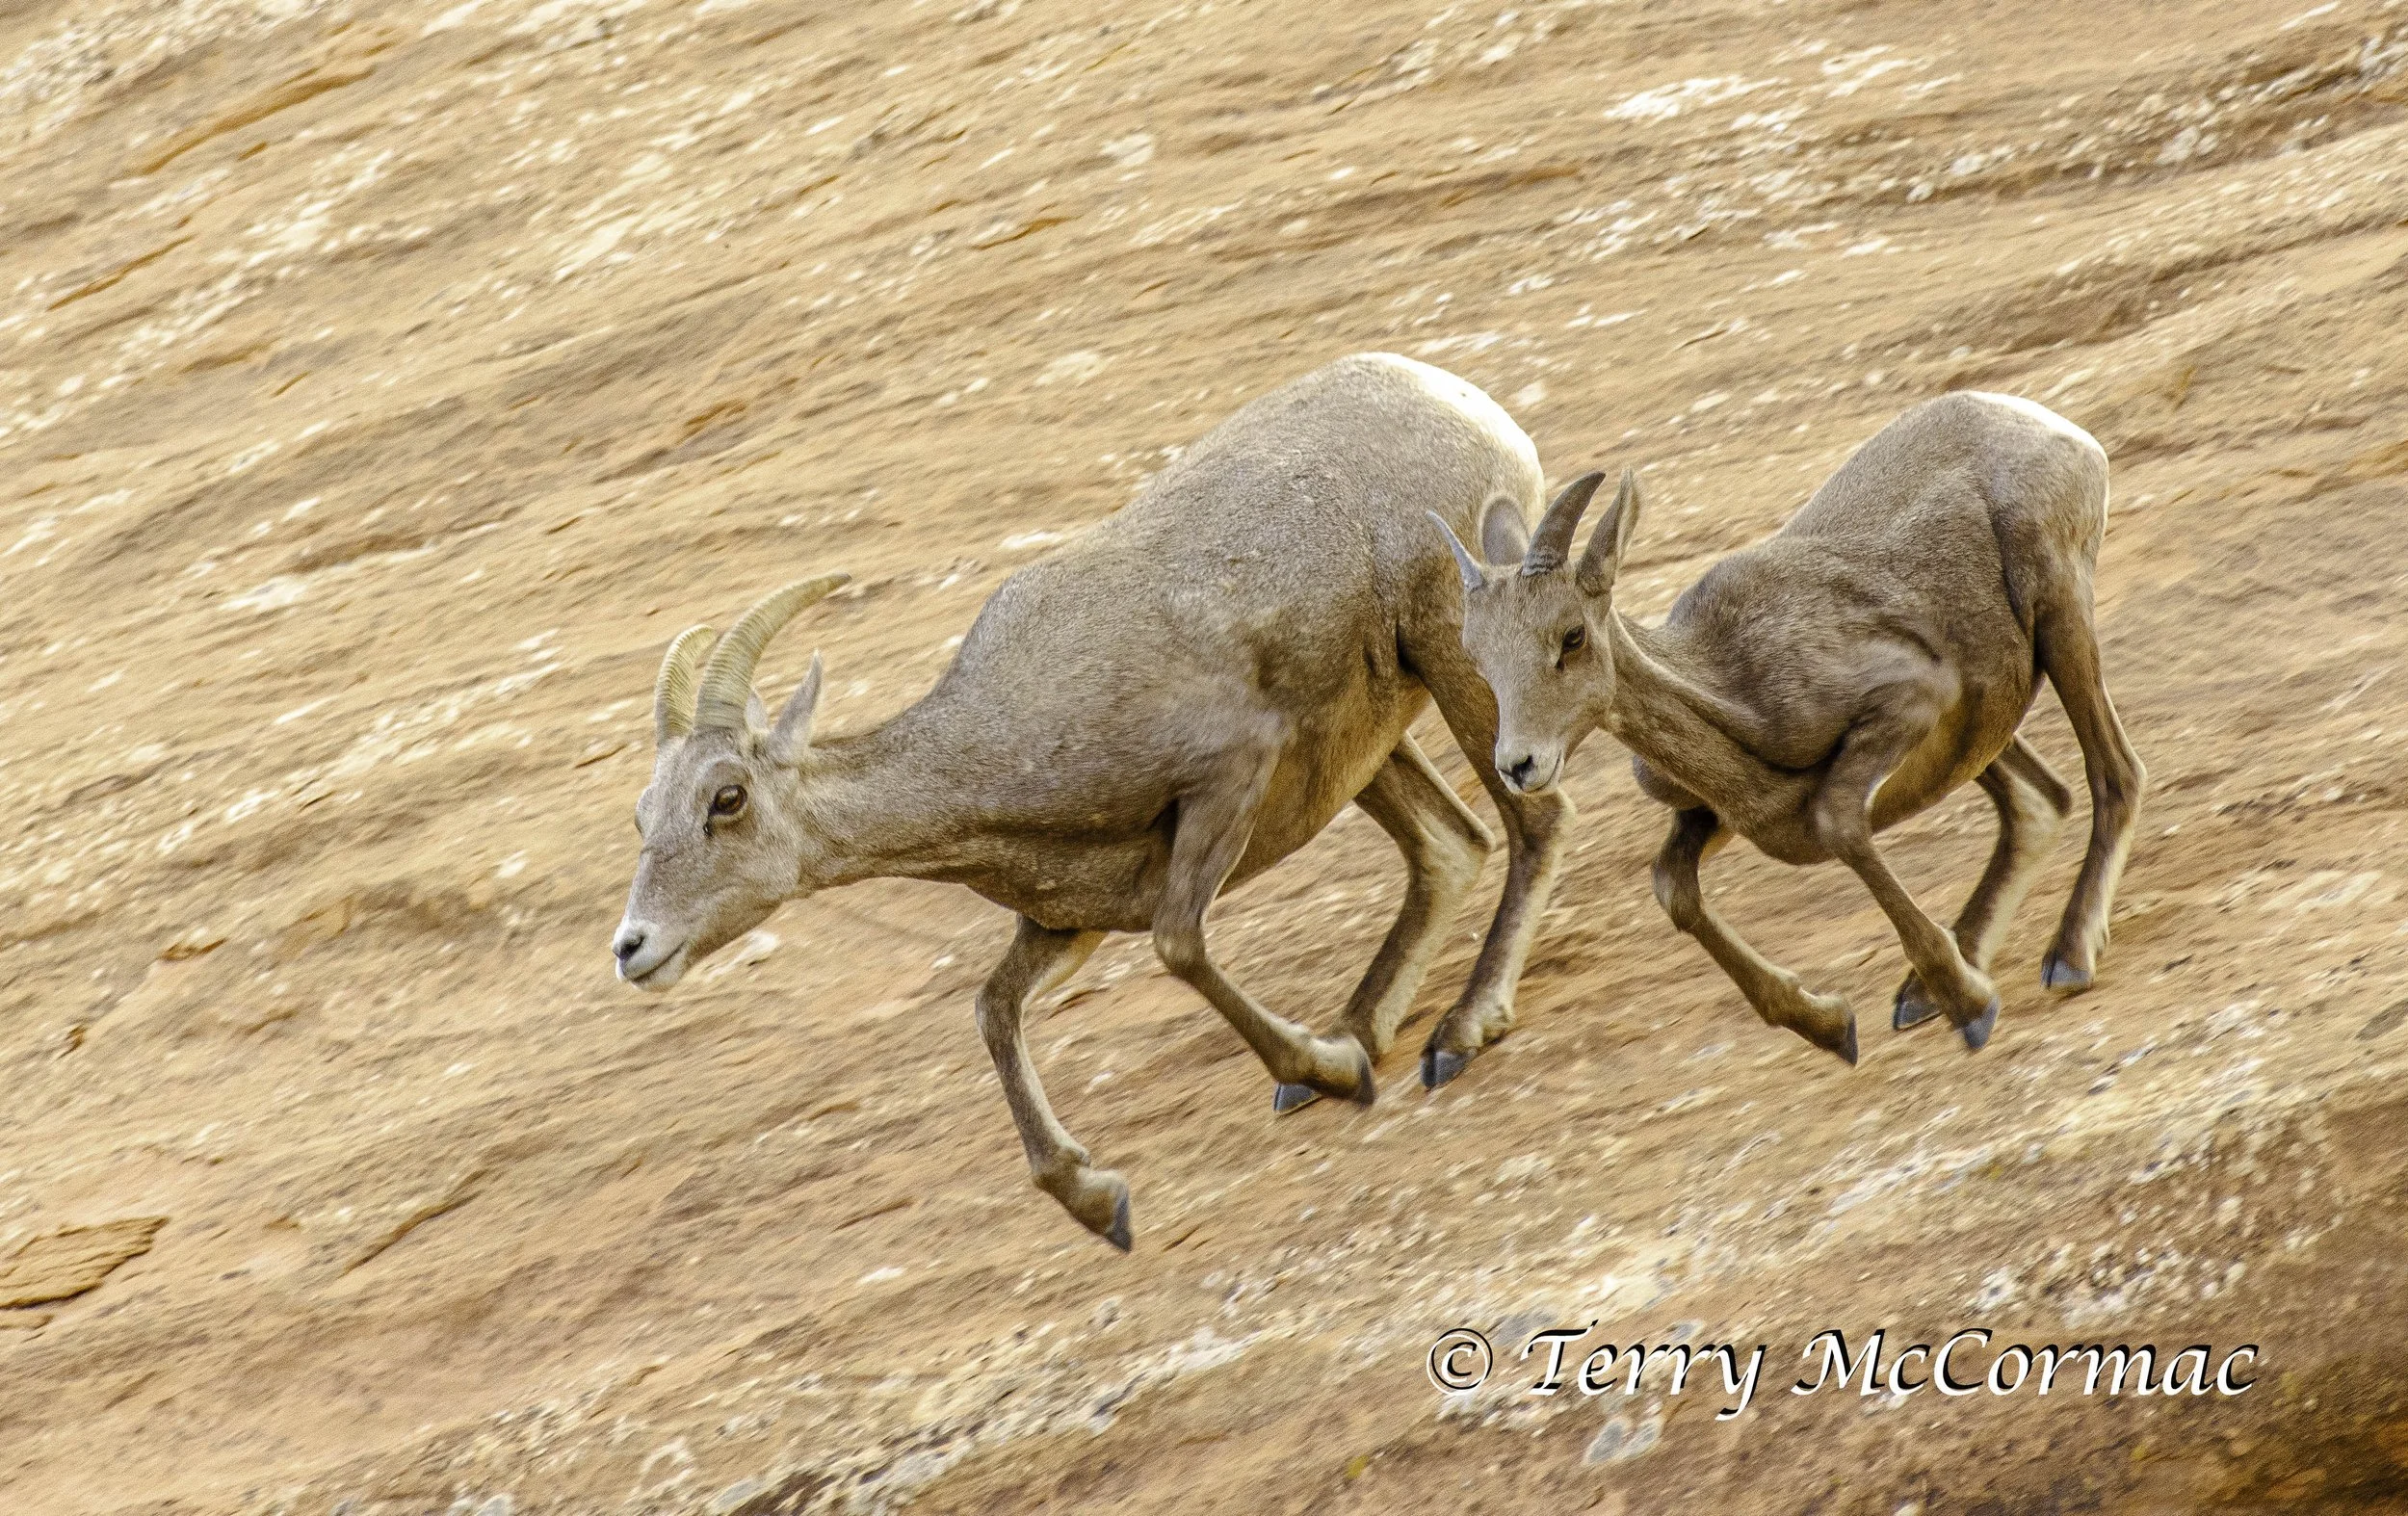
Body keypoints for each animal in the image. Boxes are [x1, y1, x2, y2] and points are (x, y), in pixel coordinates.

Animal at [611, 353, 1584, 1249]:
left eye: (726, 798)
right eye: (643, 814)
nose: (632, 949)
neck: (1007, 735)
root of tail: (1456, 397)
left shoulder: (1226, 783)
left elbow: (1178, 947)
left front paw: (1334, 1070)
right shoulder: (1067, 920)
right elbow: (993, 1011)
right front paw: (1098, 1201)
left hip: (1452, 659)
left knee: (1532, 821)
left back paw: (1455, 1035)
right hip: (1368, 747)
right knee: (1449, 845)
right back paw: (1358, 1037)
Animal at [1434, 392, 2145, 1067]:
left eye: (1572, 637)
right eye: (1477, 654)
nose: (1518, 765)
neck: (1731, 685)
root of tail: (2056, 429)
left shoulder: (1908, 703)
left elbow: (1838, 823)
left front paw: (1970, 1008)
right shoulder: (1711, 812)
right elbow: (1672, 889)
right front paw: (1829, 1027)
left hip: (2059, 613)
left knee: (2115, 773)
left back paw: (2067, 959)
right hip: (1986, 733)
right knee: (2039, 801)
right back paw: (1920, 996)